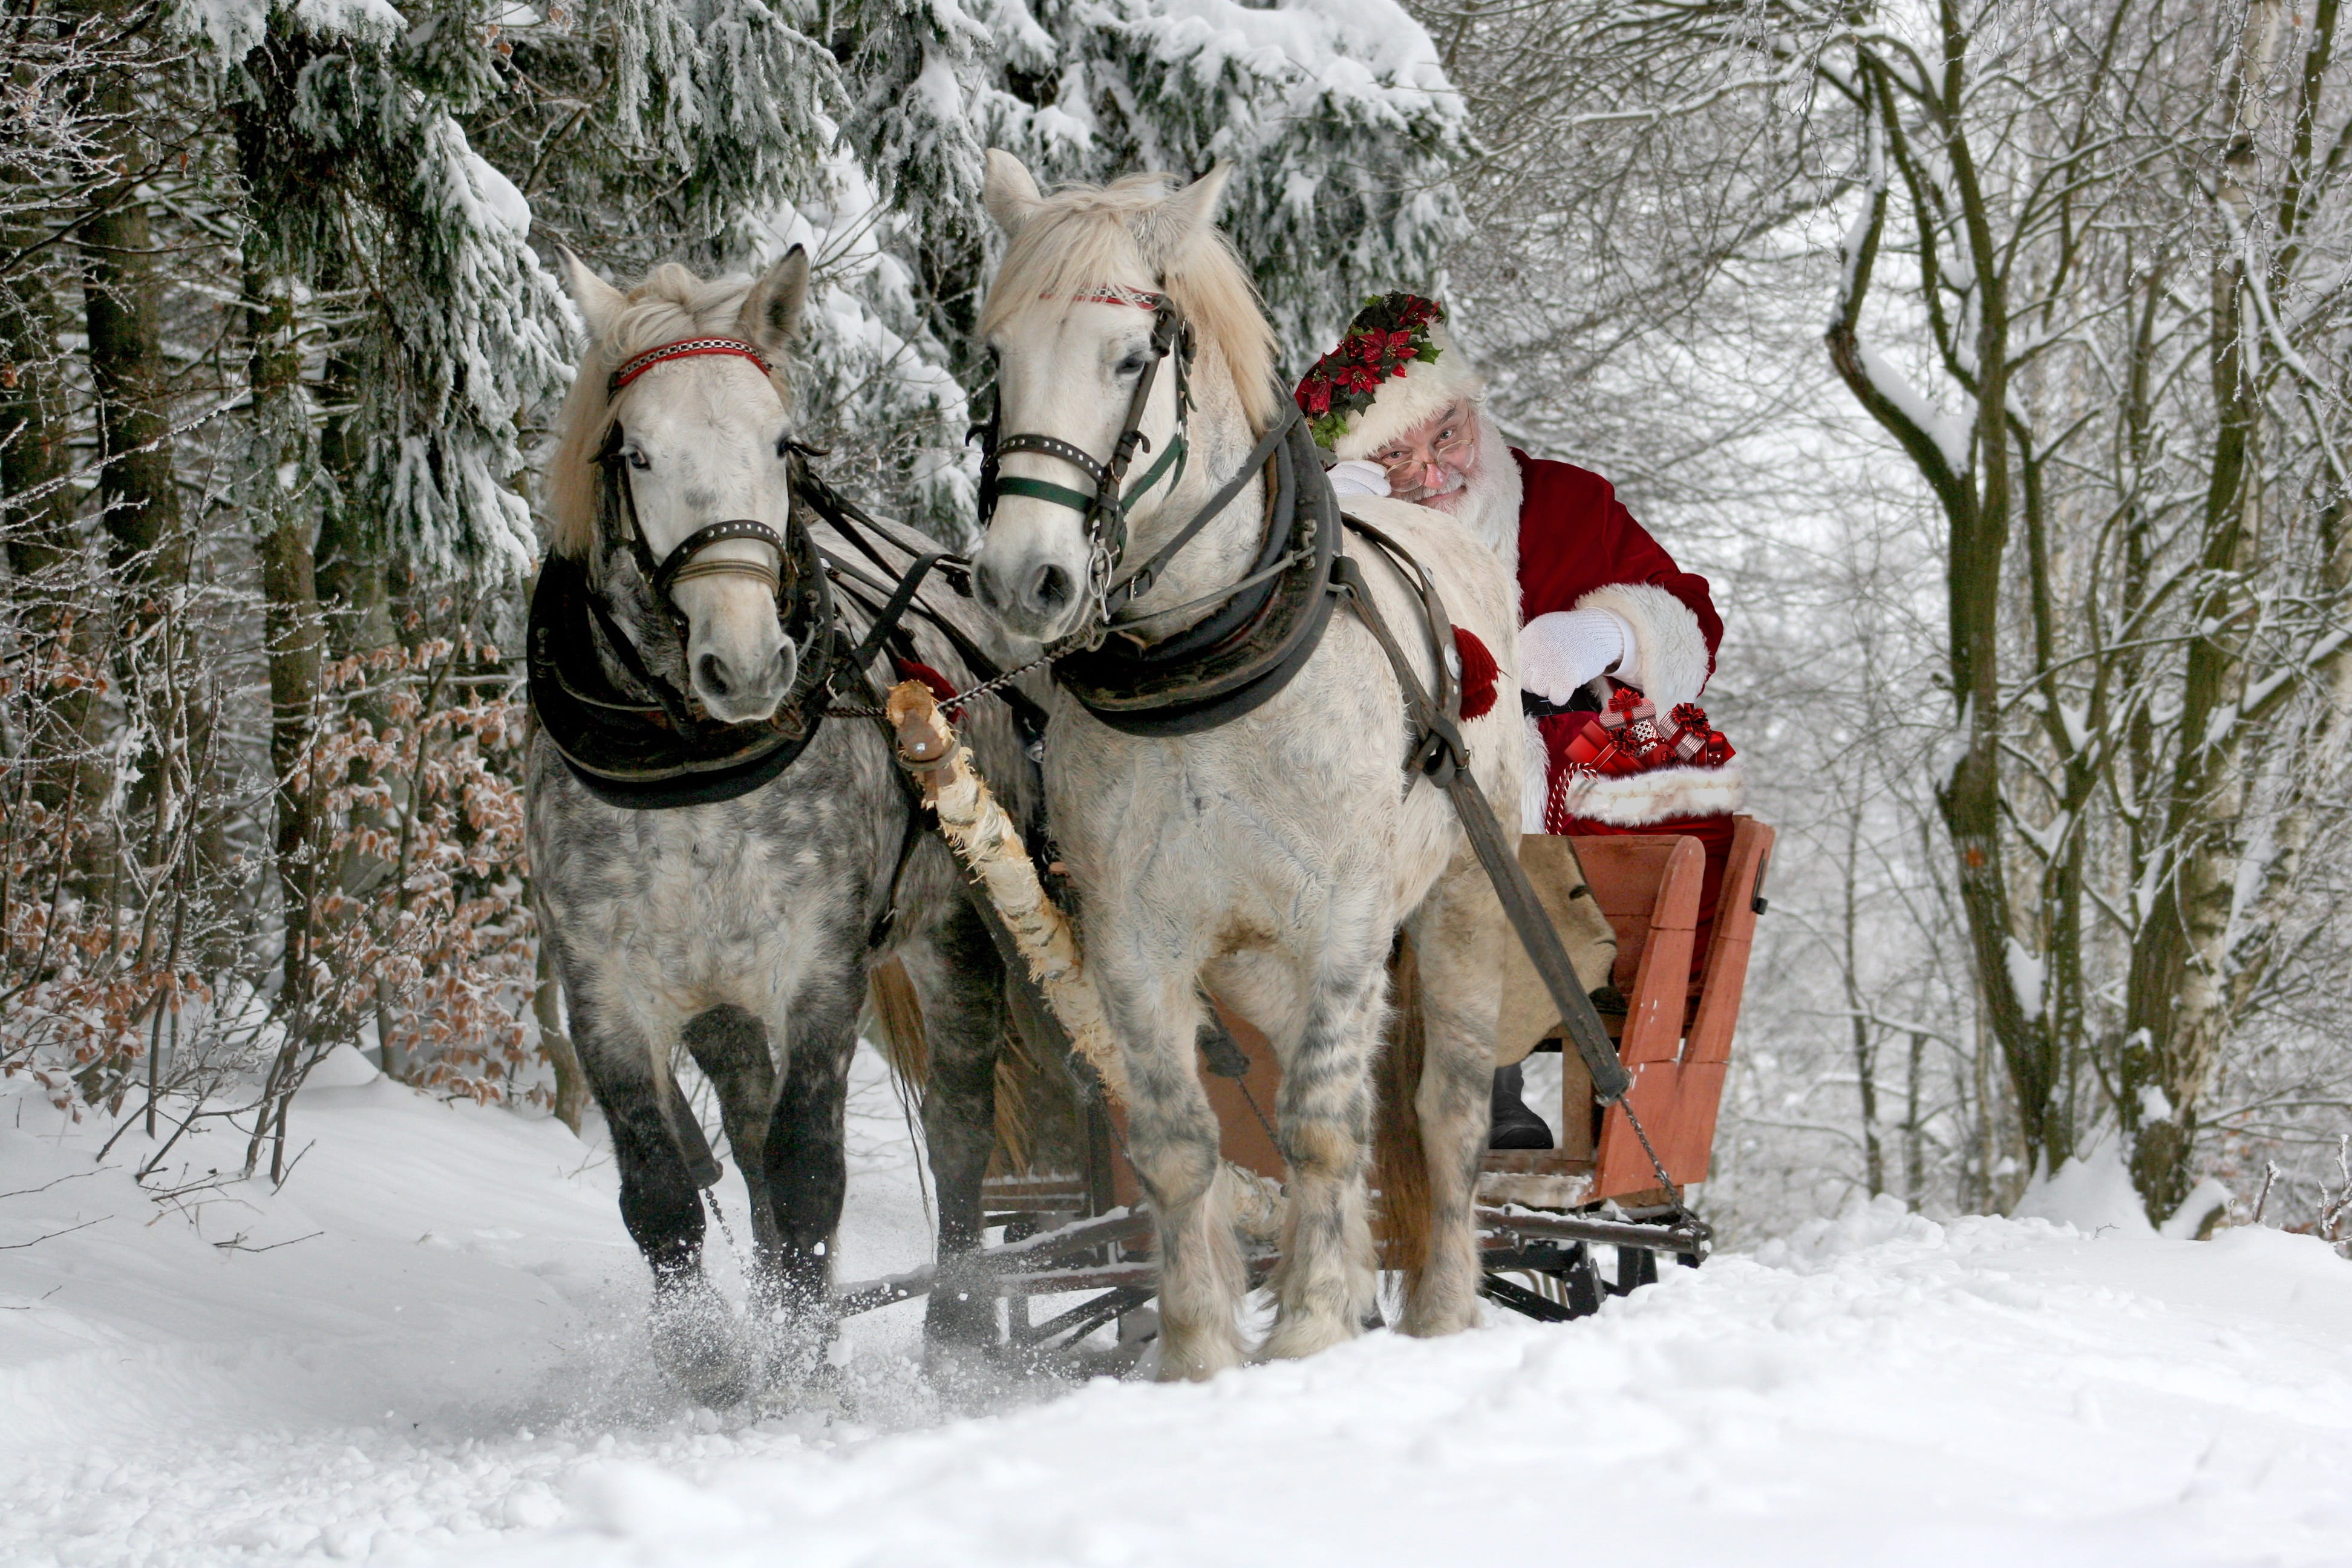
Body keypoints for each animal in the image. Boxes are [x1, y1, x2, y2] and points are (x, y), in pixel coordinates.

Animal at [528, 250, 1035, 1403]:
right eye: (638, 451)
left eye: (779, 443)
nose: (751, 663)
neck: (690, 764)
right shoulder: (605, 989)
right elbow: (662, 1187)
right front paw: (713, 1354)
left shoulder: (818, 969)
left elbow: (811, 1173)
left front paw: (805, 1365)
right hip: (719, 1000)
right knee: (748, 1130)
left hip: (959, 933)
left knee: (959, 1126)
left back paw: (954, 1328)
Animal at [967, 153, 1524, 1378]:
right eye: (997, 357)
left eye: (1130, 359)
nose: (1023, 579)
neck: (1205, 668)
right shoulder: (1133, 938)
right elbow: (1181, 1142)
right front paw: (1199, 1350)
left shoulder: (1348, 918)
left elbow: (1320, 1124)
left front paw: (1311, 1326)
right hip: (1262, 963)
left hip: (1464, 905)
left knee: (1443, 1110)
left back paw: (1443, 1309)